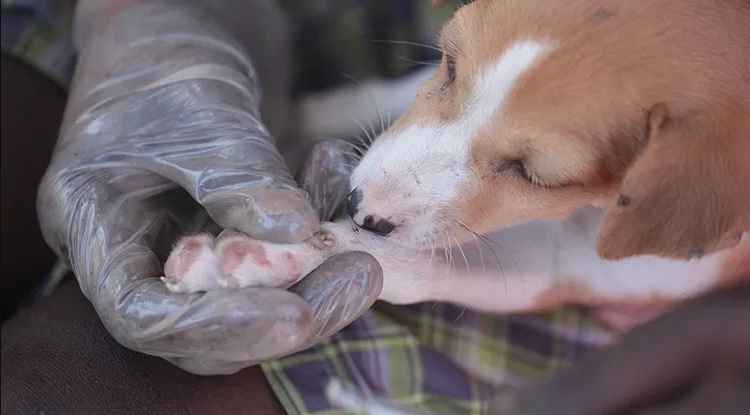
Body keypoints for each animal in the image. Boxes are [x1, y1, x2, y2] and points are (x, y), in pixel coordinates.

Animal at [164, 0, 750, 328]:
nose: (359, 205)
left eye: (537, 176)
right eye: (448, 62)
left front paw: (262, 256)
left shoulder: (571, 270)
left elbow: (406, 261)